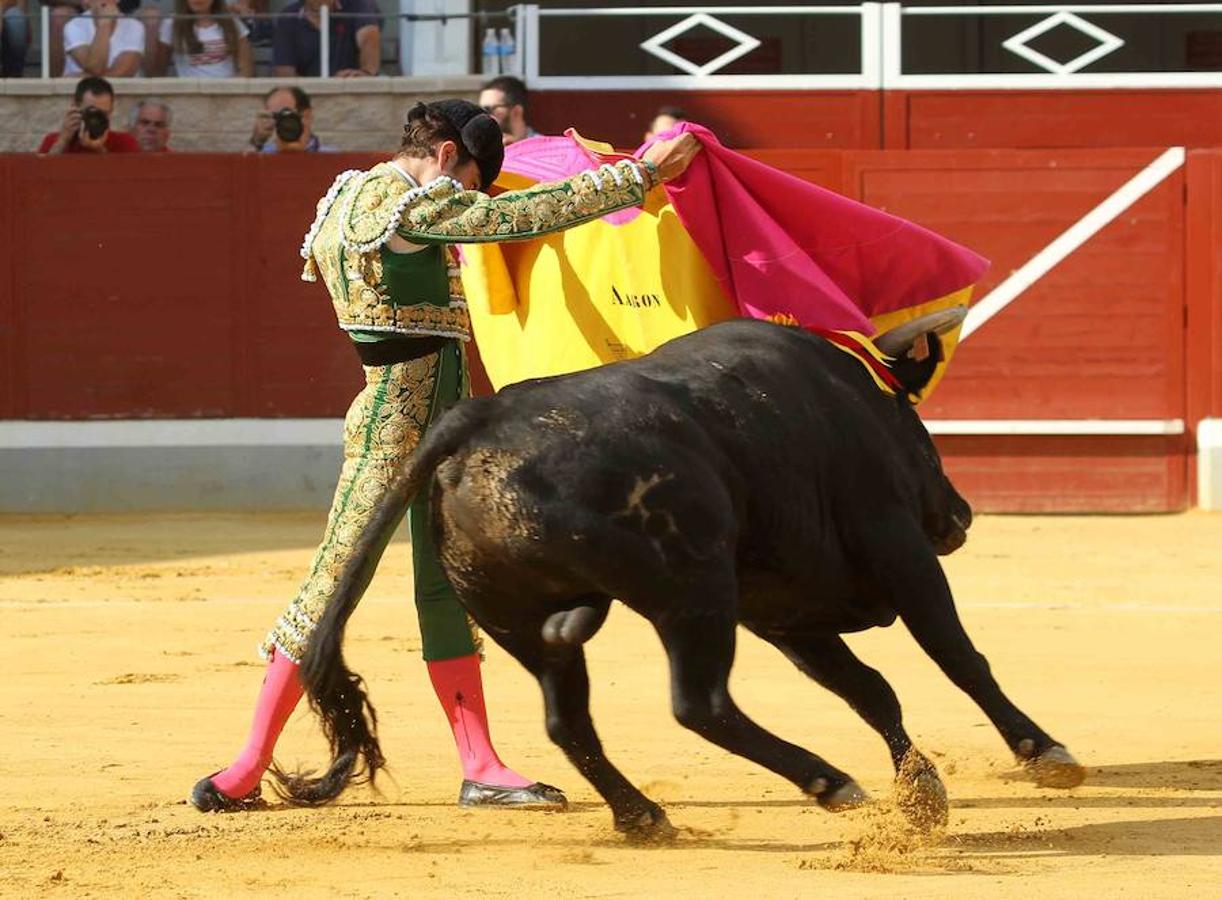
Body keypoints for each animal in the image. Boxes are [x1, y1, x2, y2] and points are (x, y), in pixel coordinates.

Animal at [281, 317, 1085, 836]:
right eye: (920, 428)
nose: (960, 514)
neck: (847, 401)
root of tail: (474, 420)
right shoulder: (895, 551)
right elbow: (957, 657)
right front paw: (1044, 752)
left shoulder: (781, 613)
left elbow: (870, 690)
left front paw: (921, 789)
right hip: (692, 596)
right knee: (699, 704)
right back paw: (827, 781)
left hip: (517, 621)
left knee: (568, 719)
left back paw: (643, 815)